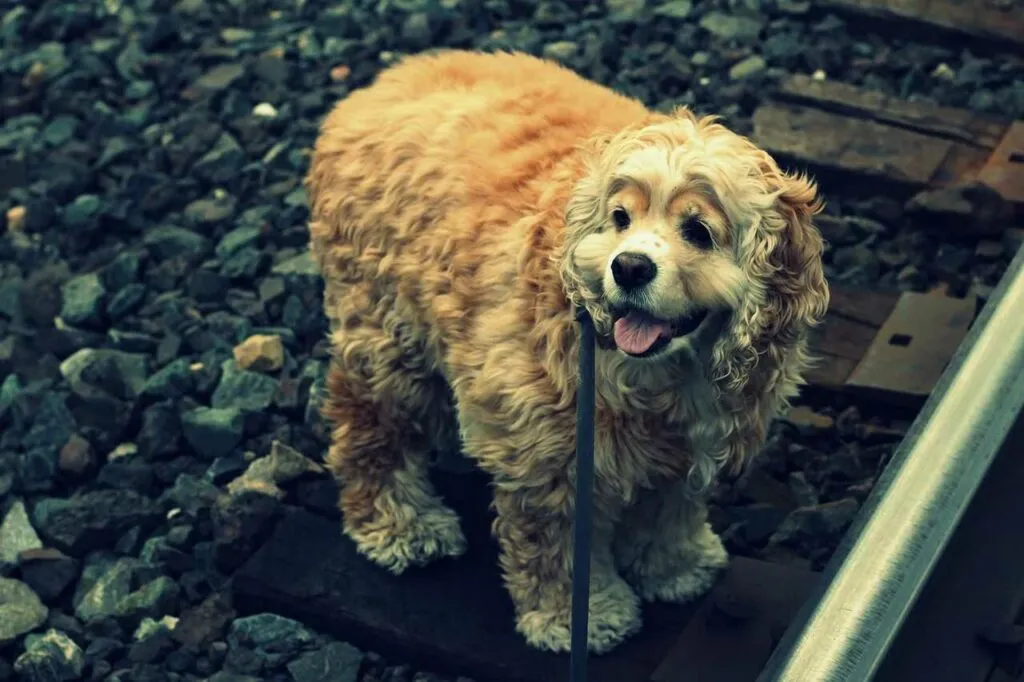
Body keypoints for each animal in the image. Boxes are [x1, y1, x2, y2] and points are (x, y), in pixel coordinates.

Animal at [303, 49, 831, 655]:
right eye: (621, 218)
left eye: (699, 230)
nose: (628, 267)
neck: (667, 377)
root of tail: (375, 87)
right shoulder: (549, 457)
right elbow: (555, 549)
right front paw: (580, 619)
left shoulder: (697, 441)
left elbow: (670, 505)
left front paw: (675, 569)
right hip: (388, 331)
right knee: (370, 422)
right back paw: (401, 526)